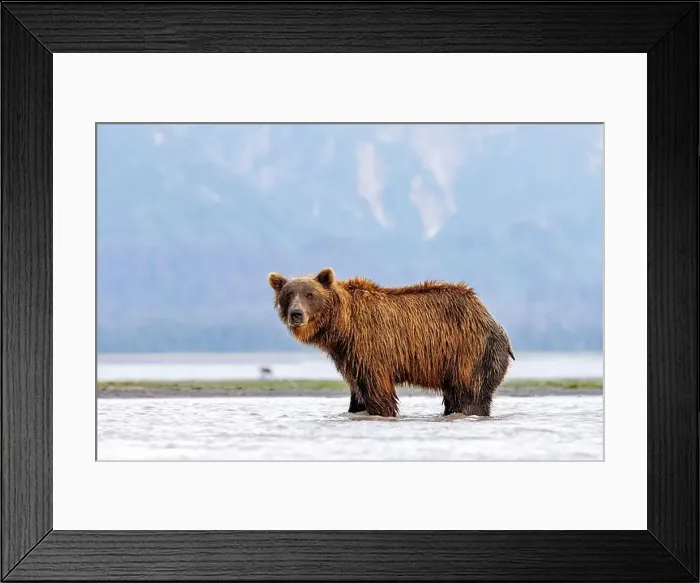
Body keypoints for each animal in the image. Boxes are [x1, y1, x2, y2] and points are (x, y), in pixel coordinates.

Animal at [267, 267, 515, 418]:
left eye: (309, 294)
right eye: (288, 295)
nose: (296, 314)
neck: (342, 327)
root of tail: (489, 315)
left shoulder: (371, 346)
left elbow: (377, 389)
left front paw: (381, 411)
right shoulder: (348, 356)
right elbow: (357, 390)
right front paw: (356, 408)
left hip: (471, 354)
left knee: (471, 395)